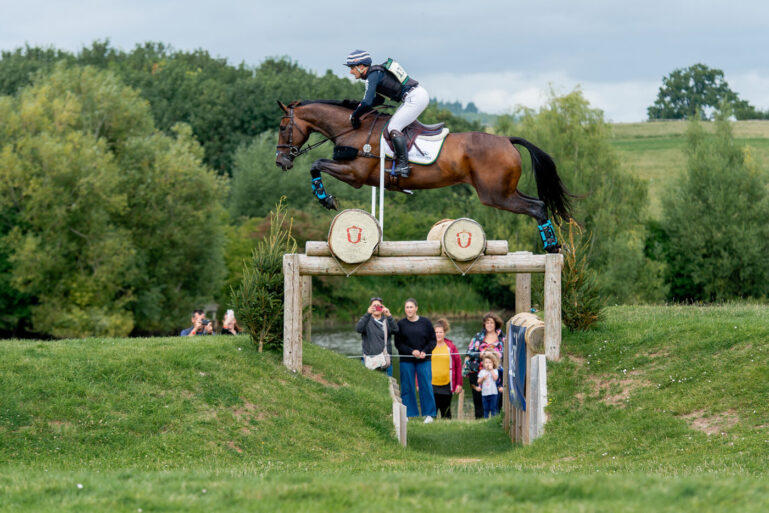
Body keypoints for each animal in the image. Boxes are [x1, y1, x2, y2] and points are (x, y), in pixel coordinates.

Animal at [274, 99, 568, 251]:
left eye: (282, 127)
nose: (281, 161)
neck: (354, 130)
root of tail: (507, 139)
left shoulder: (355, 174)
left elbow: (316, 163)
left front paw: (326, 199)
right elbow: (317, 164)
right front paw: (326, 198)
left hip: (495, 195)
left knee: (537, 207)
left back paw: (551, 246)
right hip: (504, 190)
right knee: (537, 203)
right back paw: (552, 243)